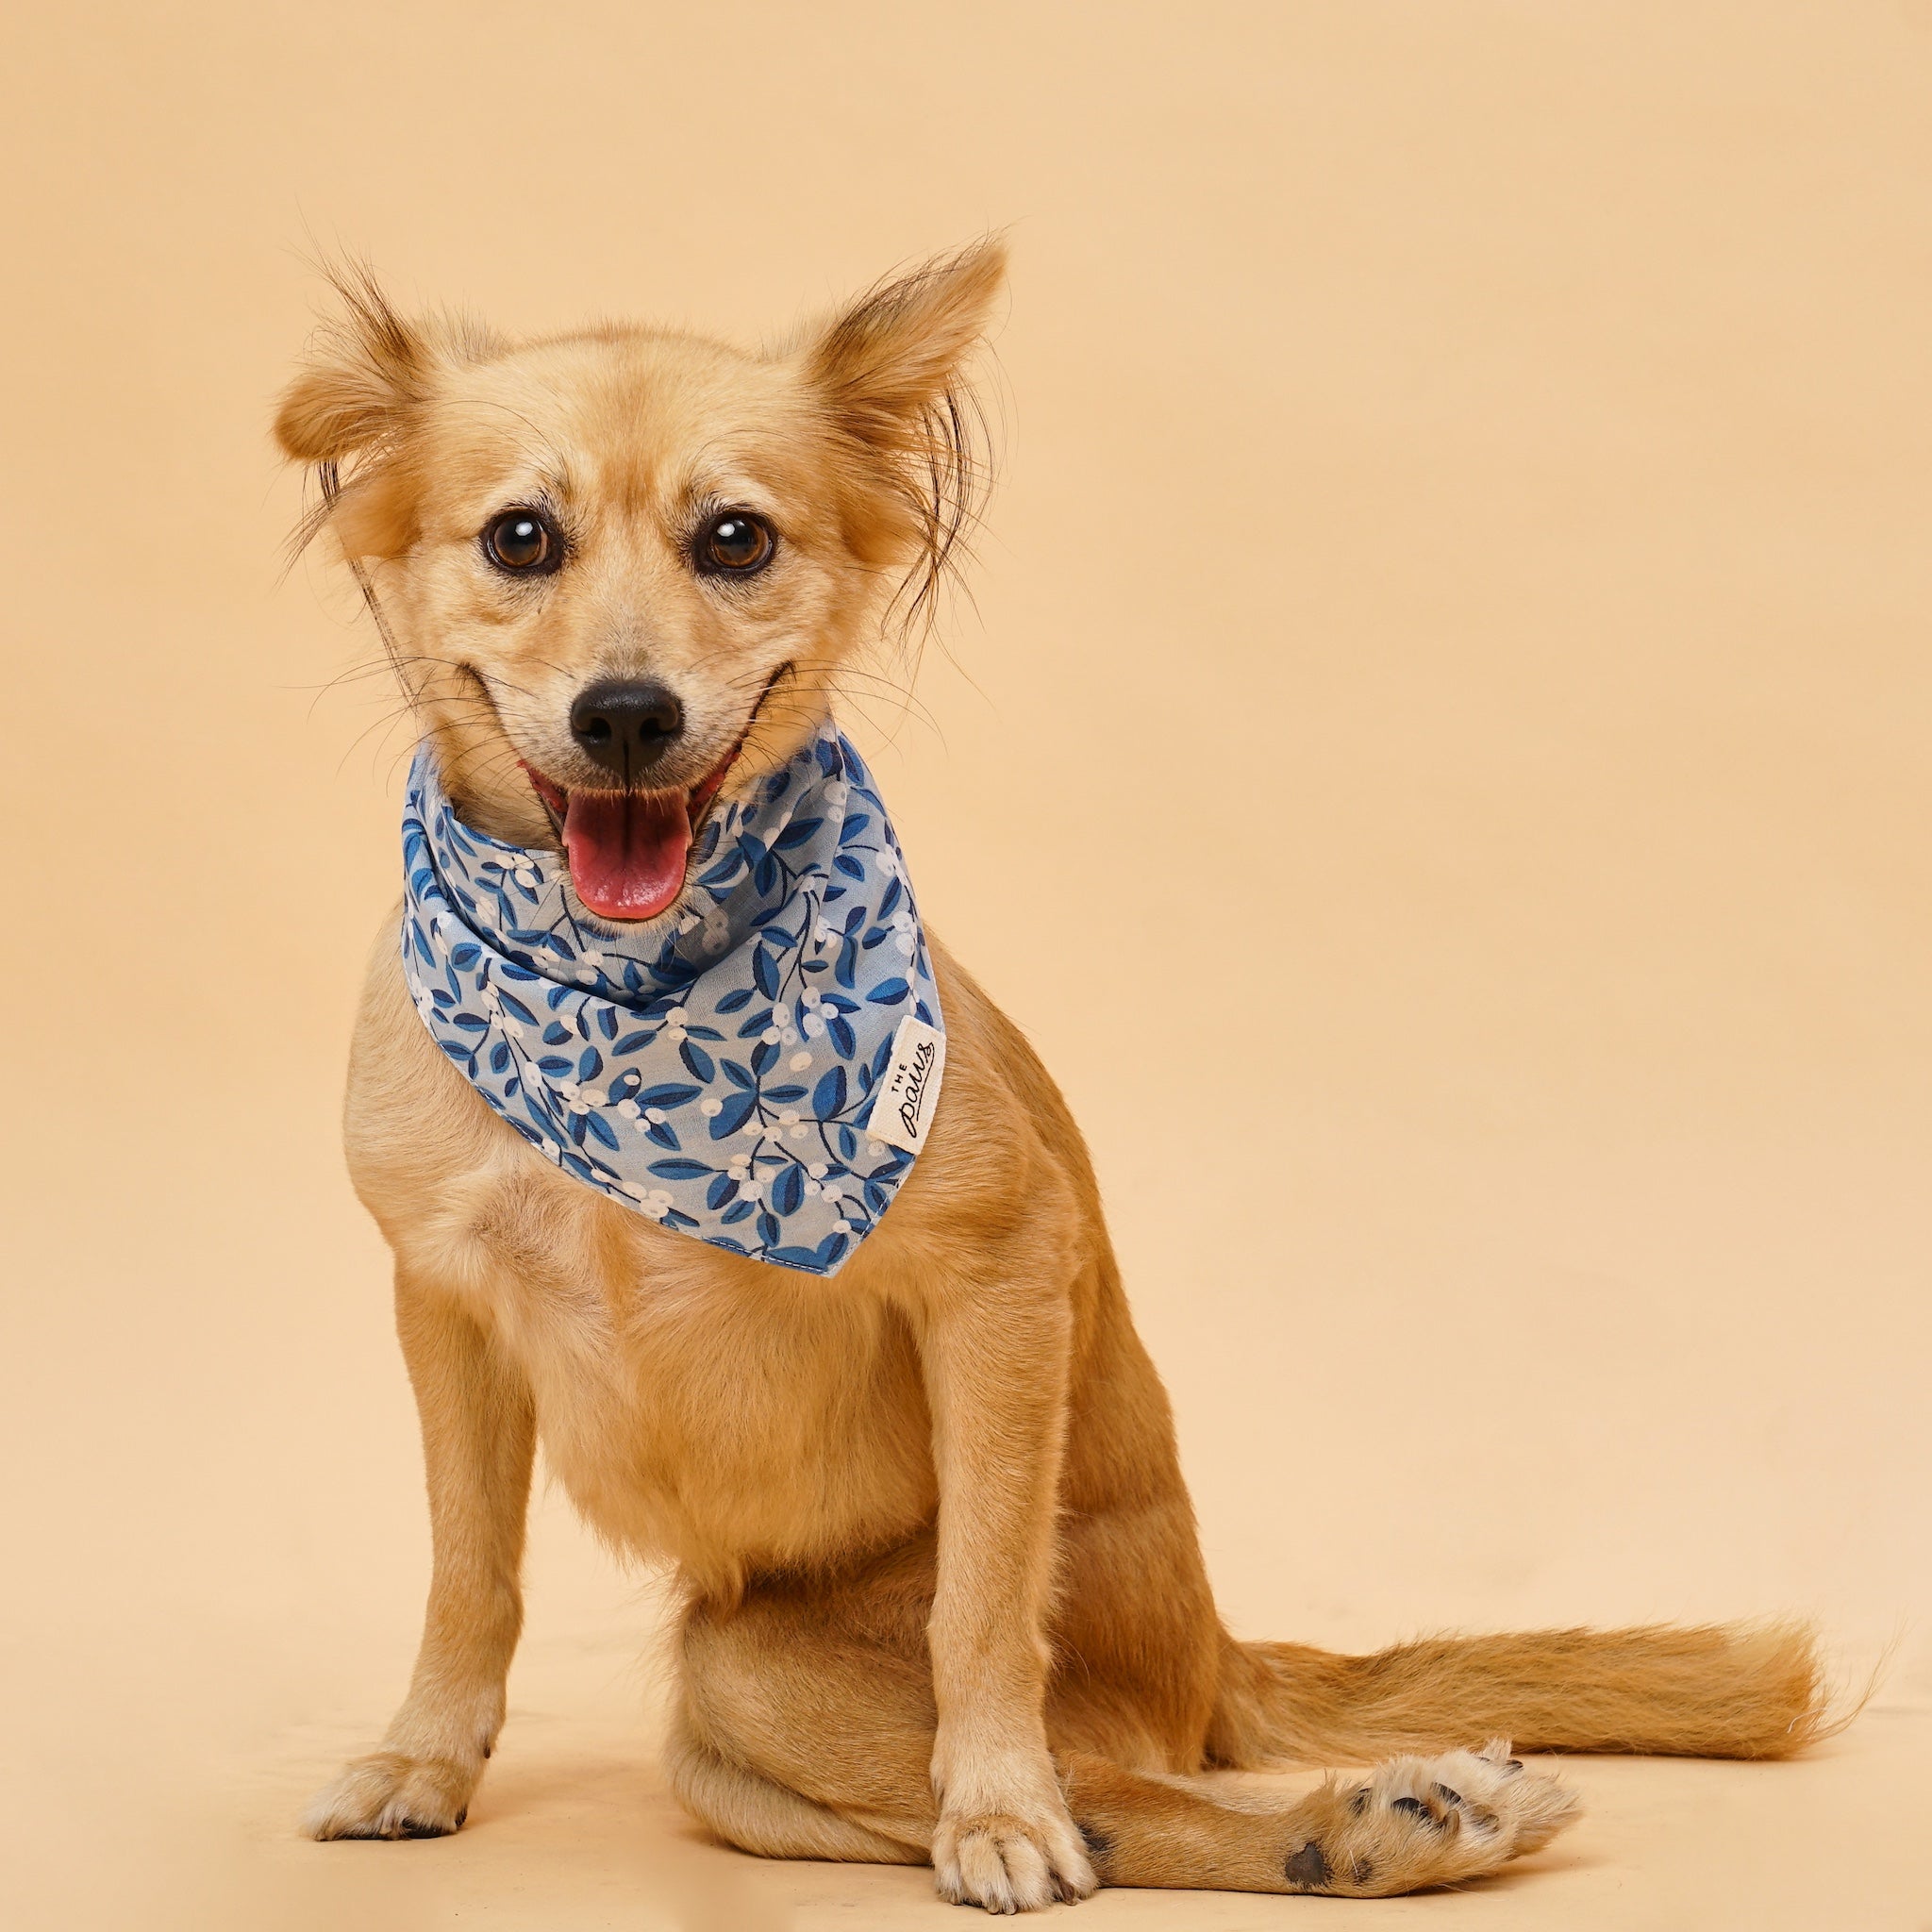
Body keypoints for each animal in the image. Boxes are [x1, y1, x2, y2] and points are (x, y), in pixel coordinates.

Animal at [279, 245, 1831, 1916]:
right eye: (521, 536)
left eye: (735, 537)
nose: (625, 716)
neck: (638, 1014)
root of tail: (1216, 1649)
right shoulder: (441, 1300)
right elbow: (467, 1570)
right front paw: (423, 1758)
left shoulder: (1005, 1270)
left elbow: (981, 1606)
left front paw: (1001, 1805)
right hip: (729, 1753)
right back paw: (1375, 1823)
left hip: (748, 1666)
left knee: (1123, 1786)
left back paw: (1370, 1822)